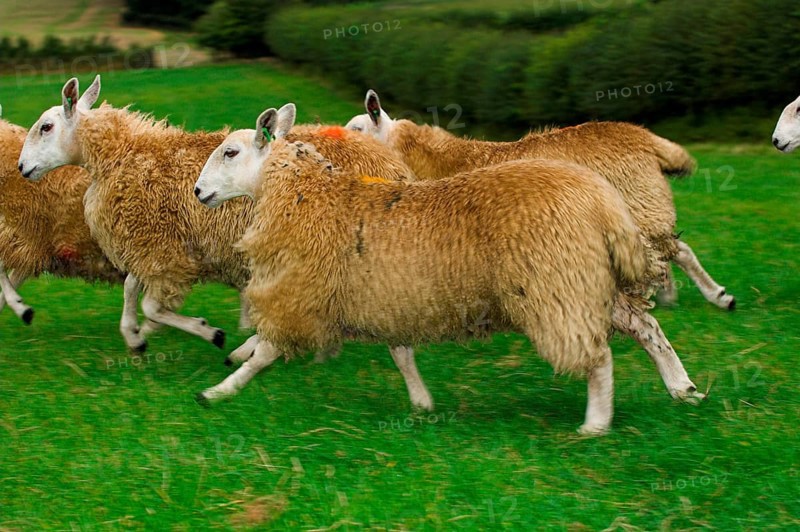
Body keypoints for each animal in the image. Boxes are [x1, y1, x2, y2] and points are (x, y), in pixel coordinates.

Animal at [194, 107, 707, 434]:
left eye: (230, 153)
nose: (198, 192)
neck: (310, 192)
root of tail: (601, 199)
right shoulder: (382, 291)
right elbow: (400, 351)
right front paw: (422, 403)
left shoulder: (303, 291)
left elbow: (267, 351)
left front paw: (219, 390)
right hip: (583, 280)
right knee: (645, 325)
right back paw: (682, 387)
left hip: (556, 286)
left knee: (598, 355)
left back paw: (595, 424)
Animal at [346, 90, 736, 311]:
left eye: (356, 129)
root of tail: (646, 139)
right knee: (671, 252)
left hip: (641, 207)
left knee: (676, 251)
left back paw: (714, 295)